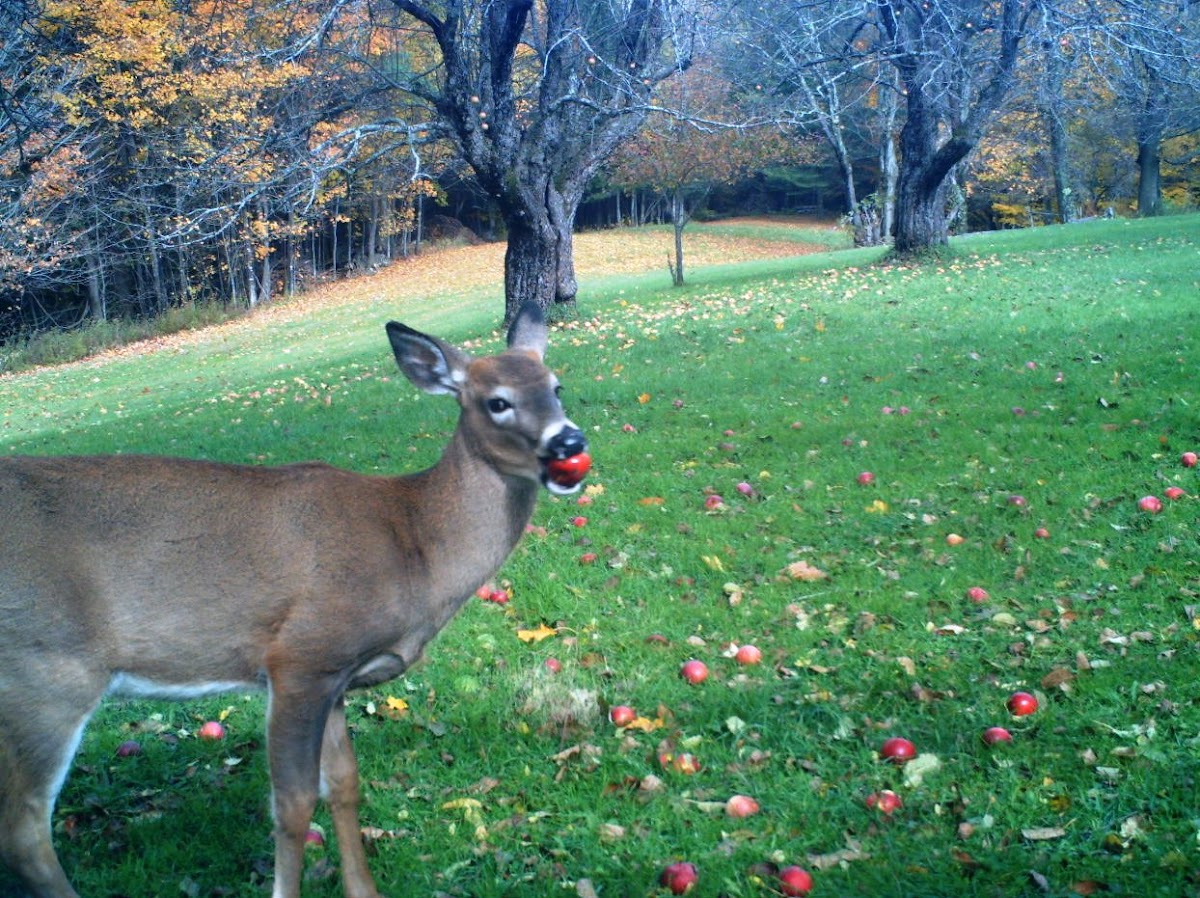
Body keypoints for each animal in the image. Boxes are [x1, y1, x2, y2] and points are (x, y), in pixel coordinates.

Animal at [0, 303, 590, 897]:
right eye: (497, 402)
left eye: (556, 386)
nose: (570, 443)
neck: (413, 542)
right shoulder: (302, 656)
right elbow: (293, 802)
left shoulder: (338, 676)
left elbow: (344, 782)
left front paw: (363, 889)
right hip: (45, 673)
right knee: (24, 832)